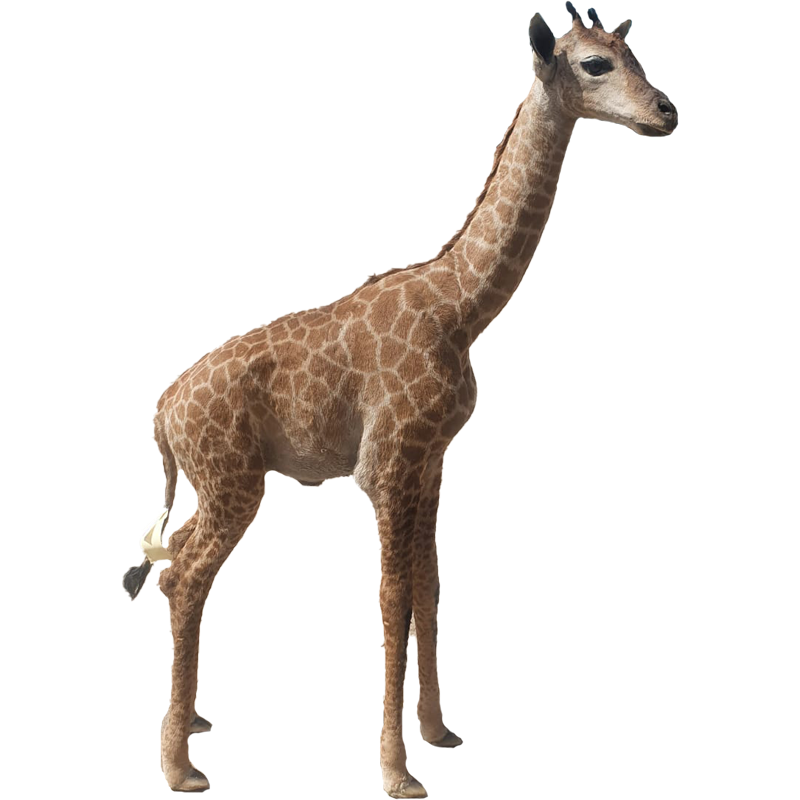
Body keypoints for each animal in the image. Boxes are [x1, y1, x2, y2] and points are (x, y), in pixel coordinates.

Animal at [122, 8, 676, 797]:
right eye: (595, 63)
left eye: (633, 52)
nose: (667, 110)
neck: (462, 308)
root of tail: (162, 410)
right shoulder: (386, 465)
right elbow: (392, 598)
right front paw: (396, 767)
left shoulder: (432, 460)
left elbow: (430, 587)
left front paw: (436, 729)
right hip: (234, 484)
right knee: (186, 576)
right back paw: (177, 766)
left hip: (213, 484)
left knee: (168, 566)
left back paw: (193, 724)